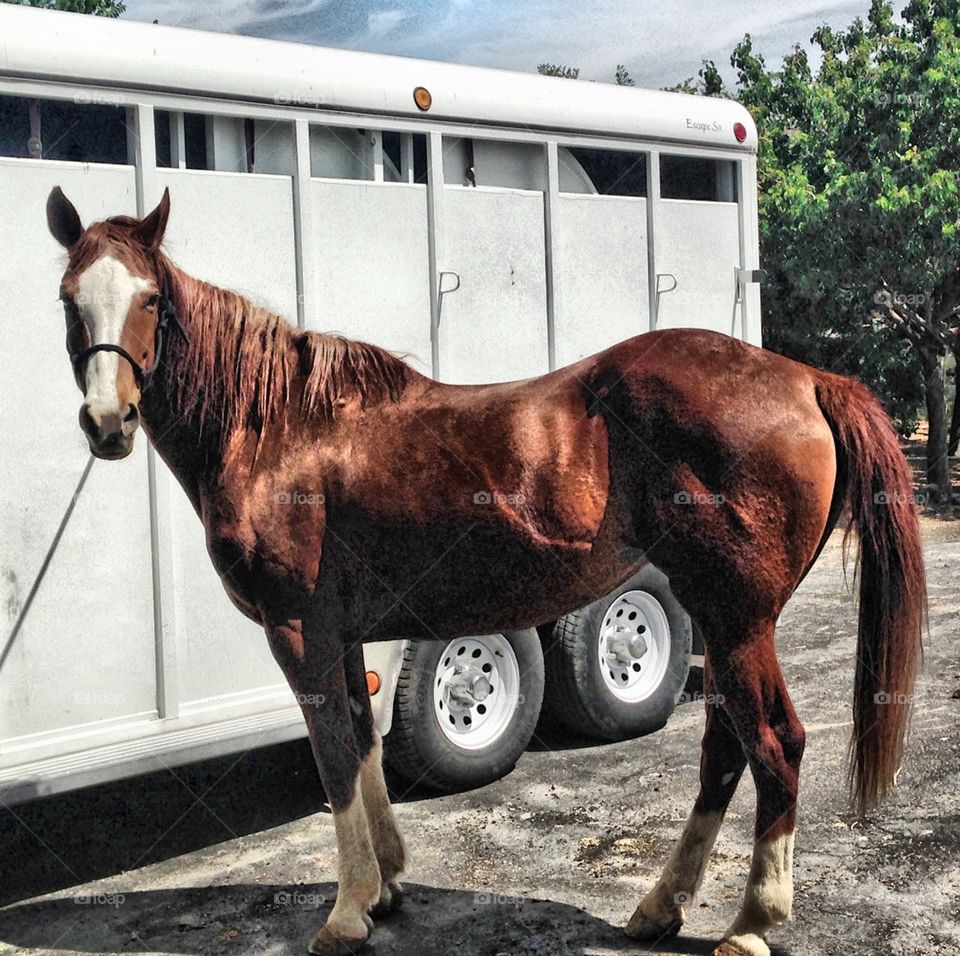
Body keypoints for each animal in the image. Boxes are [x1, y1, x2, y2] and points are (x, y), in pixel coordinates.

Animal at [45, 189, 924, 956]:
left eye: (150, 299)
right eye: (67, 299)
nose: (106, 422)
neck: (281, 430)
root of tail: (806, 378)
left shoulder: (299, 632)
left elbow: (333, 758)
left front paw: (345, 914)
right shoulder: (344, 637)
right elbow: (364, 746)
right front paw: (386, 887)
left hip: (737, 620)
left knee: (775, 744)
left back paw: (751, 922)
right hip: (726, 618)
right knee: (726, 750)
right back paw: (660, 906)